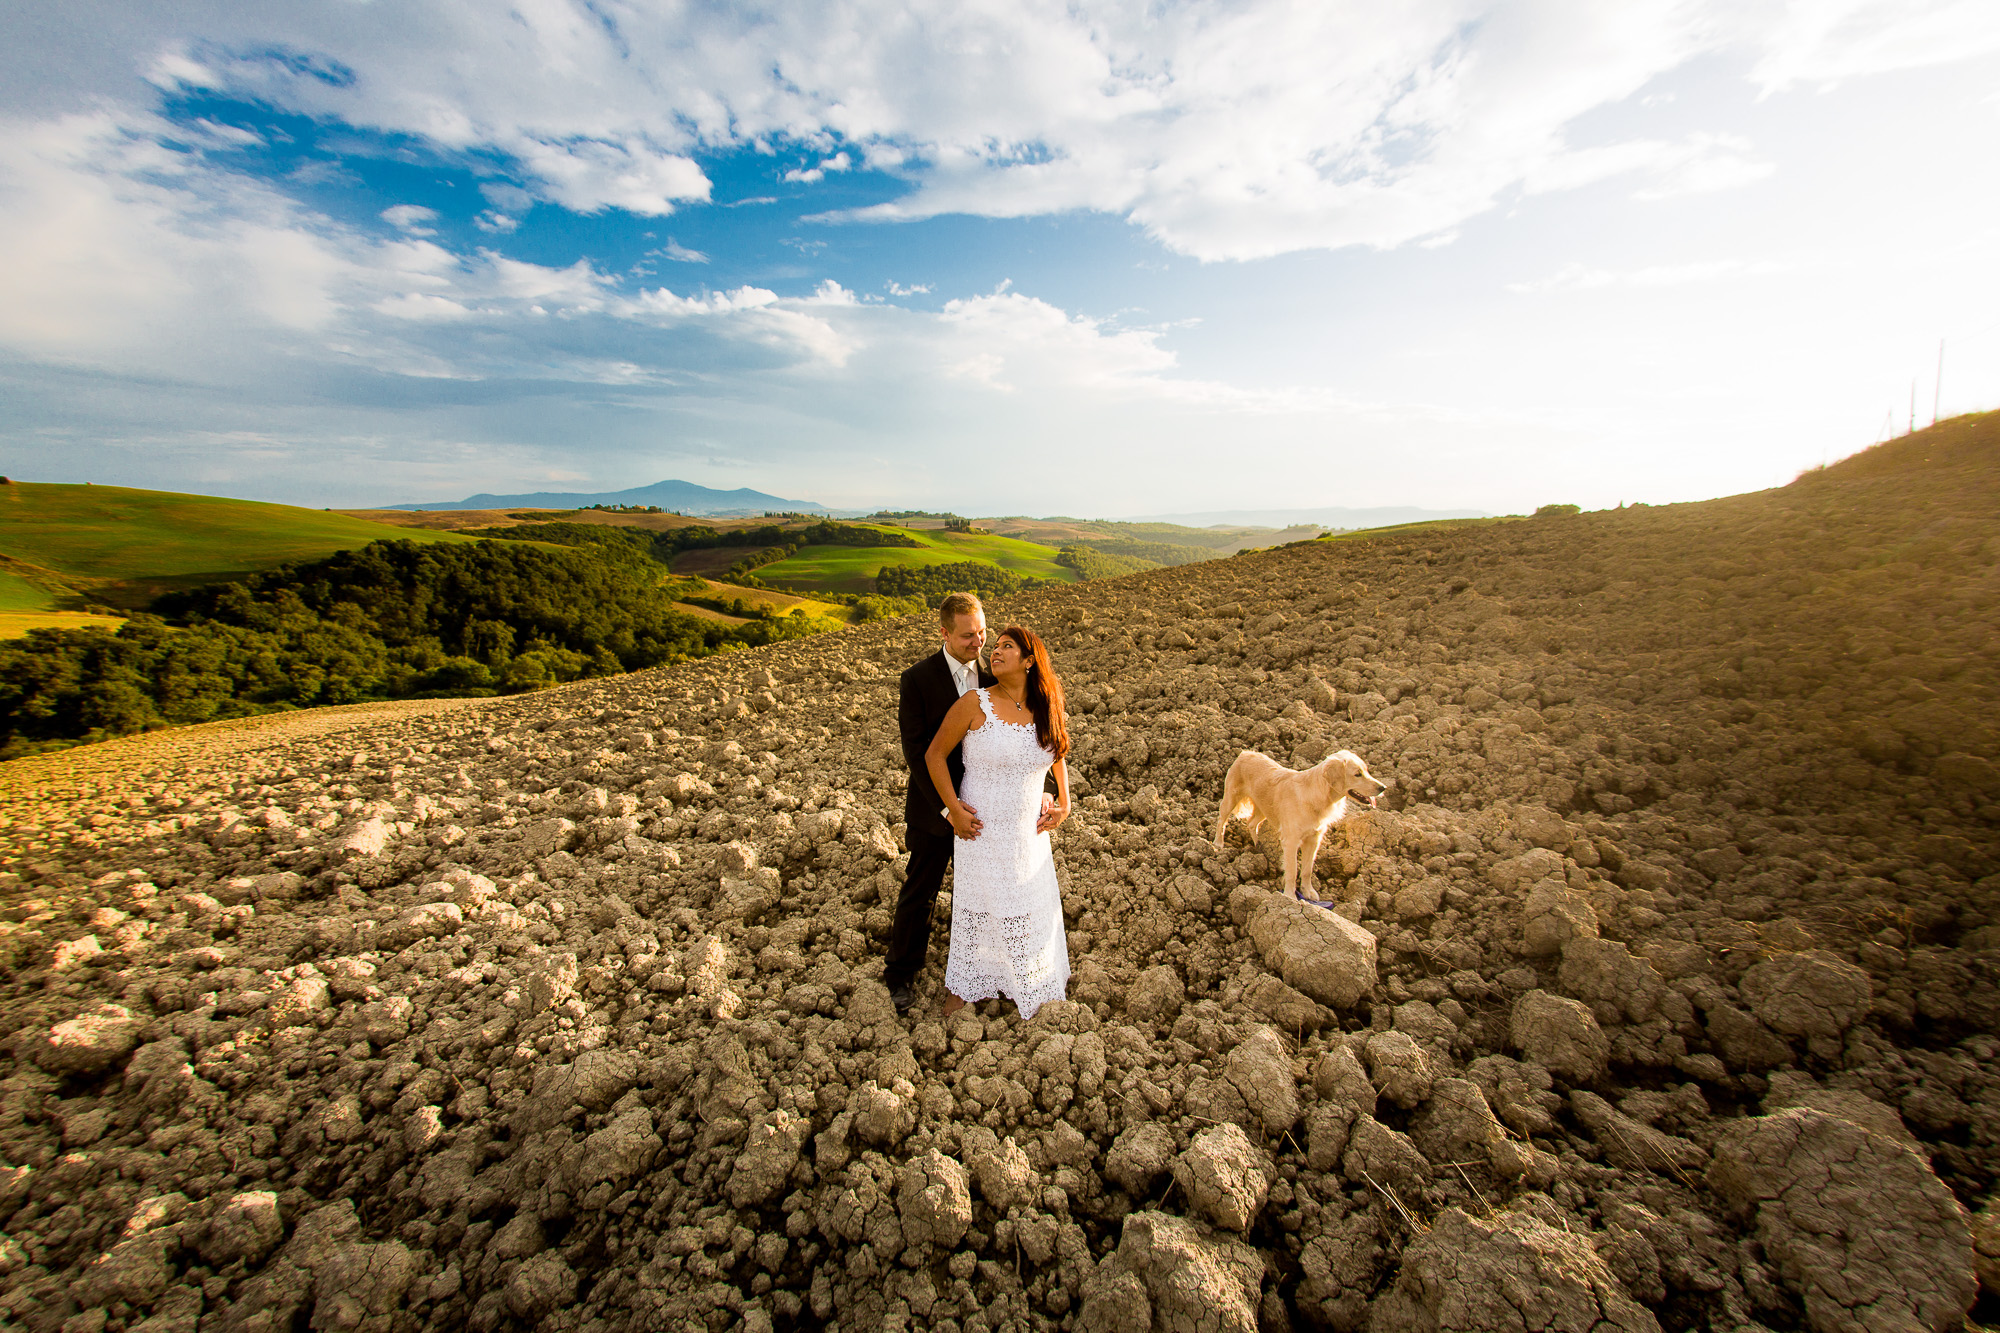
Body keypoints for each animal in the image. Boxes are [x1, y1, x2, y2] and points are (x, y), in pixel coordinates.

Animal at [1208, 752, 1384, 896]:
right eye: (1357, 774)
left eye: (1366, 770)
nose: (1383, 787)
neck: (1318, 796)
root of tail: (1245, 753)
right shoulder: (1291, 841)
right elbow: (1292, 871)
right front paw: (1290, 896)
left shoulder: (1313, 839)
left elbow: (1307, 870)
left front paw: (1308, 892)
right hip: (1231, 797)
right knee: (1221, 820)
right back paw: (1218, 843)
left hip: (1264, 807)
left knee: (1251, 823)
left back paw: (1258, 845)